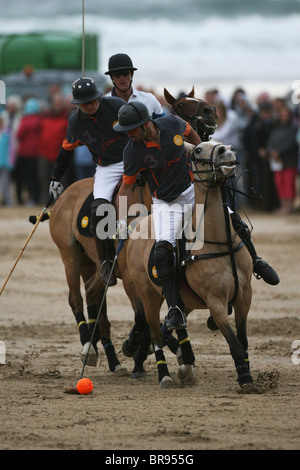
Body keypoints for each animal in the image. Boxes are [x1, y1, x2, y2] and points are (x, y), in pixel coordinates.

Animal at [122, 140, 255, 392]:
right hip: (147, 295)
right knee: (155, 331)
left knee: (171, 322)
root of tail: (140, 224)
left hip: (182, 298)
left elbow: (243, 340)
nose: (227, 150)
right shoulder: (215, 302)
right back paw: (164, 374)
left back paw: (184, 364)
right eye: (198, 150)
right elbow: (234, 342)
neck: (218, 240)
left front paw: (248, 375)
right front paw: (245, 378)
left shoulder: (244, 296)